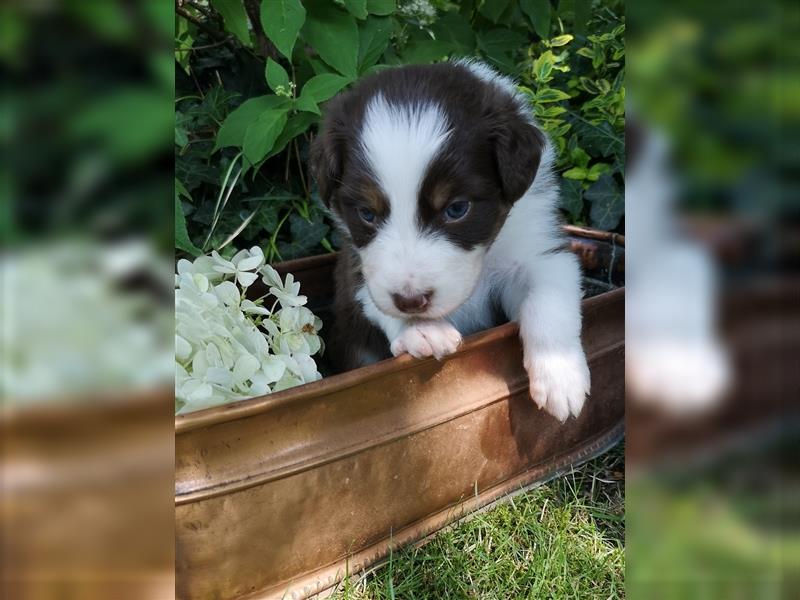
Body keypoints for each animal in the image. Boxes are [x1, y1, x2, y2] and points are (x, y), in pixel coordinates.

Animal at [310, 58, 592, 420]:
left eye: (457, 209)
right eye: (367, 214)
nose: (411, 301)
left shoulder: (540, 249)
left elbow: (548, 301)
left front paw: (561, 378)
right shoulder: (354, 264)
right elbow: (370, 297)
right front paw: (421, 328)